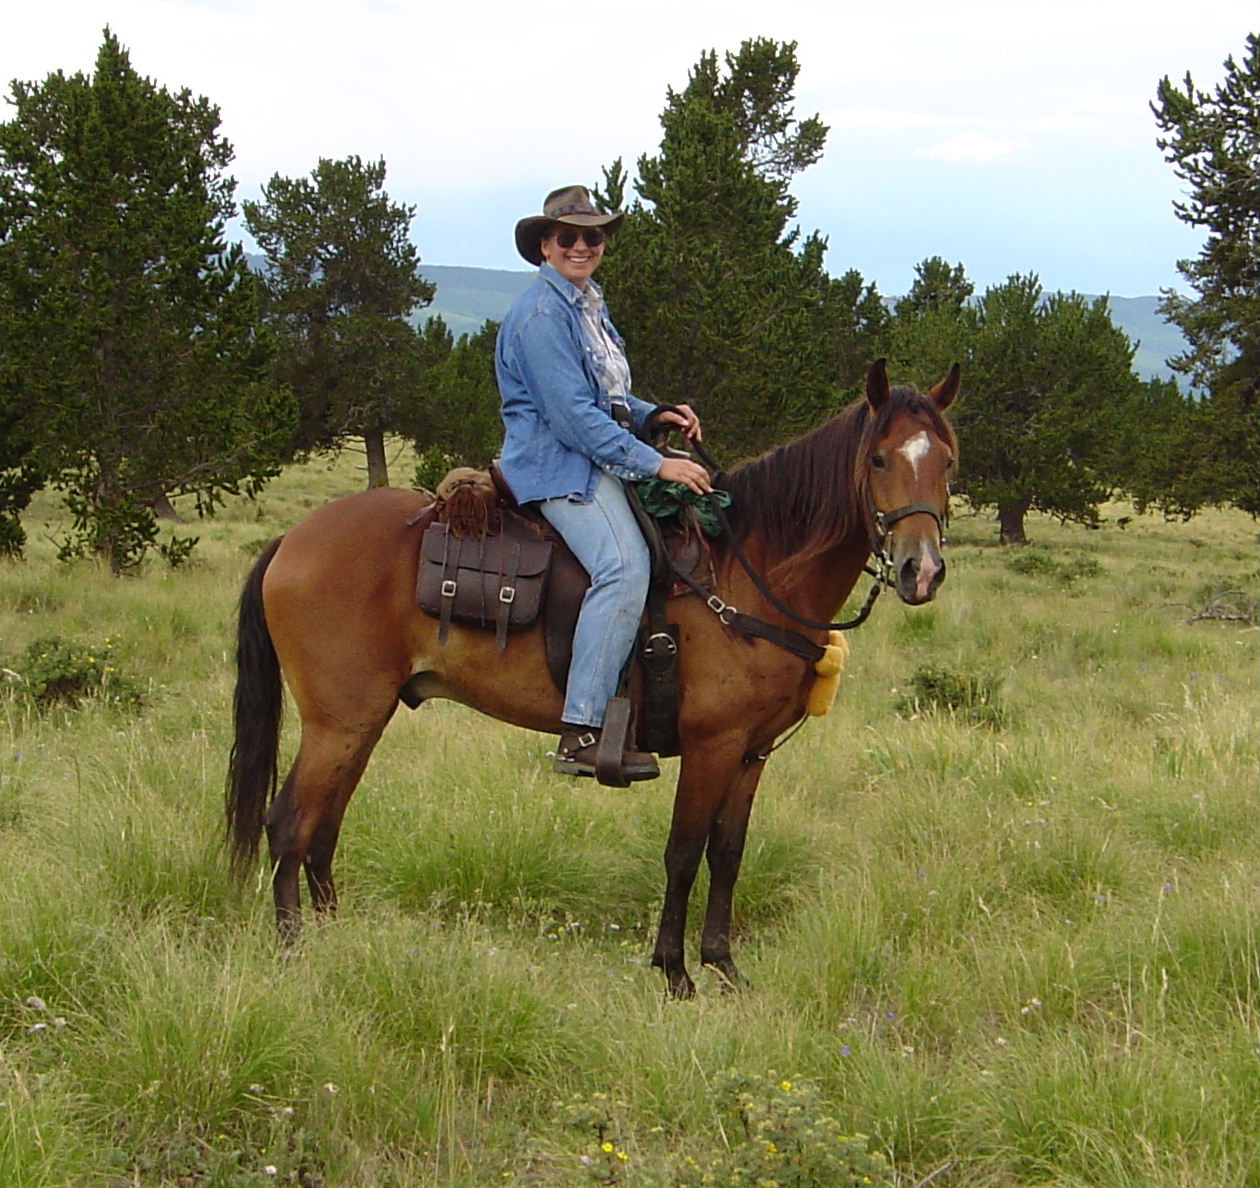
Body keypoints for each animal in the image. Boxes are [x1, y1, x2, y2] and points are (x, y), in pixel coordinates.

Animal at [226, 357, 957, 997]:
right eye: (879, 459)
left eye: (947, 462)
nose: (921, 570)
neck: (745, 570)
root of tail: (292, 540)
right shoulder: (712, 745)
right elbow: (684, 851)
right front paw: (675, 973)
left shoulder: (752, 752)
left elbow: (728, 853)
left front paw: (725, 967)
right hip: (339, 721)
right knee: (289, 824)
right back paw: (295, 954)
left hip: (361, 721)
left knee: (324, 826)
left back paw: (335, 940)